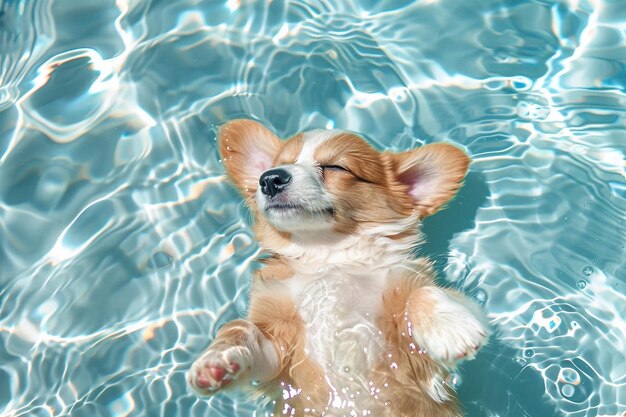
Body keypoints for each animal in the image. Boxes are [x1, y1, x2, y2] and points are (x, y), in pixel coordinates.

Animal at [188, 118, 490, 416]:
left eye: (336, 167)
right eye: (277, 165)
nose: (269, 178)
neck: (328, 257)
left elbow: (423, 293)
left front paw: (451, 329)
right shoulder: (277, 352)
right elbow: (240, 328)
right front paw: (216, 359)